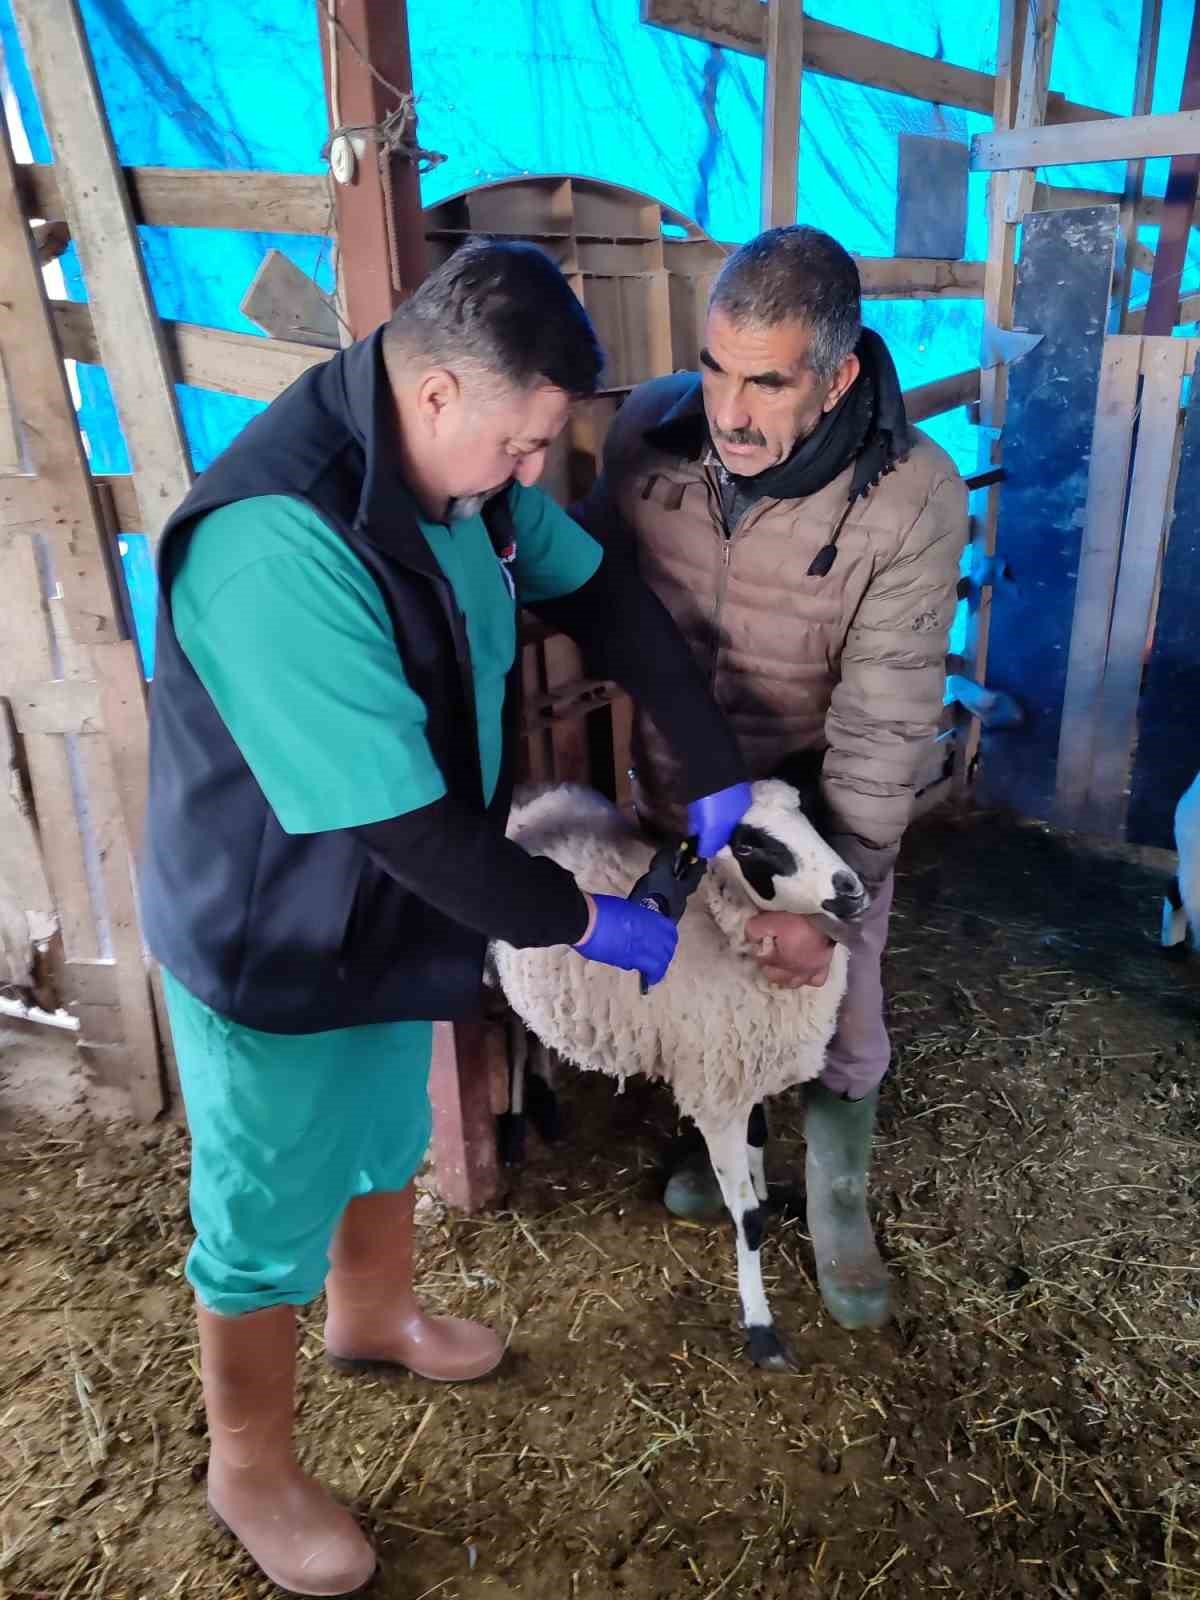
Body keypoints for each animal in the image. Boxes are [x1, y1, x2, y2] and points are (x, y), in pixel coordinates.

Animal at [492, 774, 870, 1363]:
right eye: (748, 844)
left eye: (807, 810)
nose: (851, 890)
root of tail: (537, 799)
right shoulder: (716, 1094)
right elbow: (748, 1220)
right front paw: (761, 1328)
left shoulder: (745, 1071)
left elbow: (759, 1140)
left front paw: (765, 1189)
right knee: (510, 1030)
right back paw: (513, 1126)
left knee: (532, 1028)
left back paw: (547, 1103)